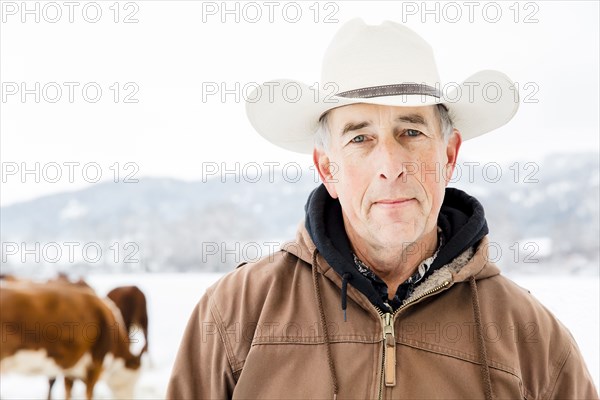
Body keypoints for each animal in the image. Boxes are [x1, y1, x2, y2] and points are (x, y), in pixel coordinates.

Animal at [0, 282, 141, 400]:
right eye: (134, 379)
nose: (131, 397)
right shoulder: (96, 366)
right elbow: (88, 394)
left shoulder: (70, 367)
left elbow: (68, 392)